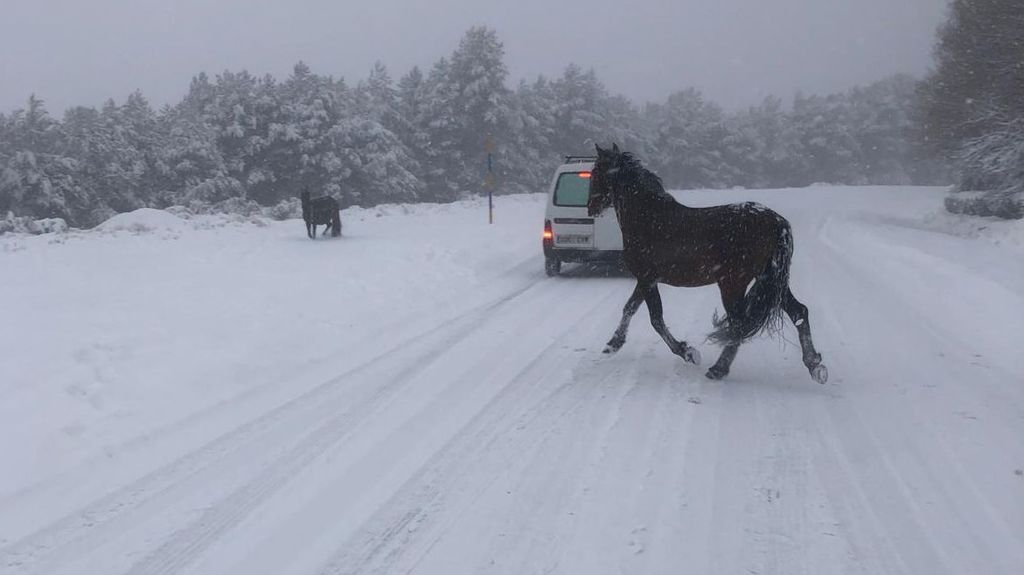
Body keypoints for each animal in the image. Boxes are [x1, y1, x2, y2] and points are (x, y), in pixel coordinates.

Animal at [589, 144, 827, 380]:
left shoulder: (647, 278)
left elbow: (655, 319)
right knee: (798, 312)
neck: (649, 218)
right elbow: (629, 308)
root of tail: (777, 222)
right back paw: (815, 365)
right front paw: (612, 345)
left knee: (739, 324)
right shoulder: (647, 279)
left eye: (596, 172)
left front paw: (687, 352)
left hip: (733, 284)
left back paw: (718, 369)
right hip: (771, 281)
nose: (590, 207)